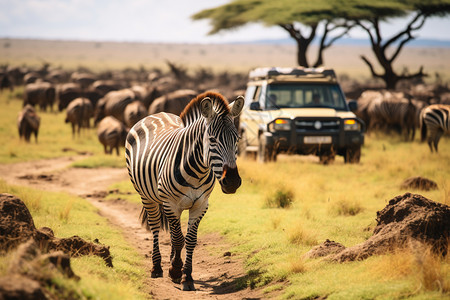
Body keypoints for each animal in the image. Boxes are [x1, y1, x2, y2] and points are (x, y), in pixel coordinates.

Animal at [124, 91, 243, 290]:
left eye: (237, 139)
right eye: (212, 140)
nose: (233, 182)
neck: (198, 171)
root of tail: (157, 113)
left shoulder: (200, 205)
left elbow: (189, 240)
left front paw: (186, 275)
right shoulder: (171, 203)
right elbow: (179, 239)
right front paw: (175, 270)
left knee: (173, 232)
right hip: (148, 197)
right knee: (156, 227)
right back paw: (157, 267)